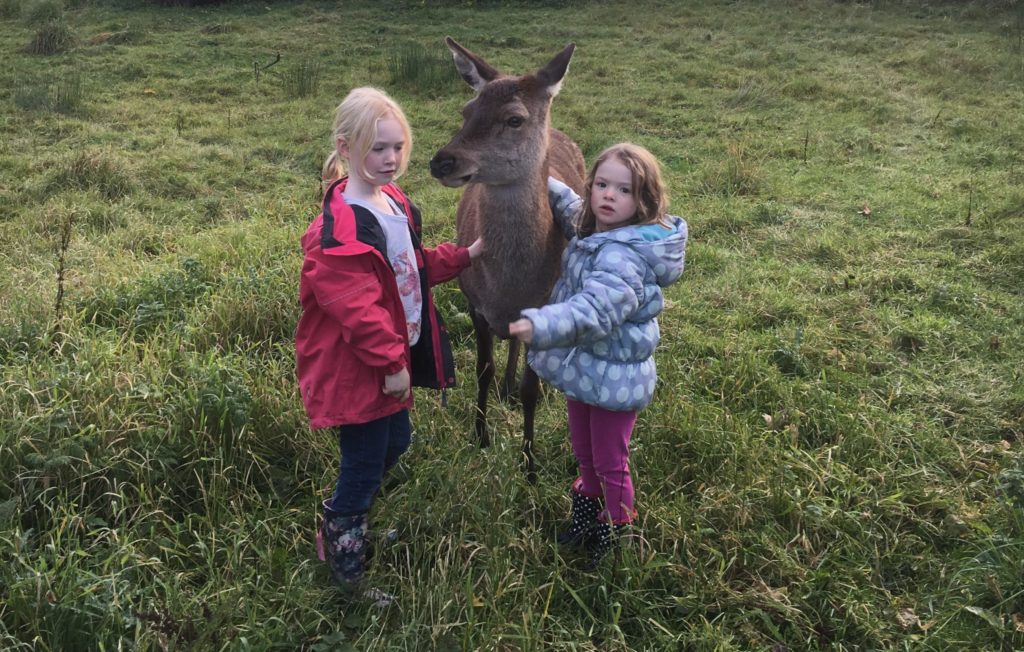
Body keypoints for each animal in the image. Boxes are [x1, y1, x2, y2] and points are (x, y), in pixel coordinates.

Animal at [423, 38, 585, 481]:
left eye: (514, 119)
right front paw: (480, 435)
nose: (441, 161)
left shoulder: (544, 308)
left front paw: (529, 465)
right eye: (466, 111)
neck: (511, 285)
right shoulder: (474, 301)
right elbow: (482, 370)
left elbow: (532, 389)